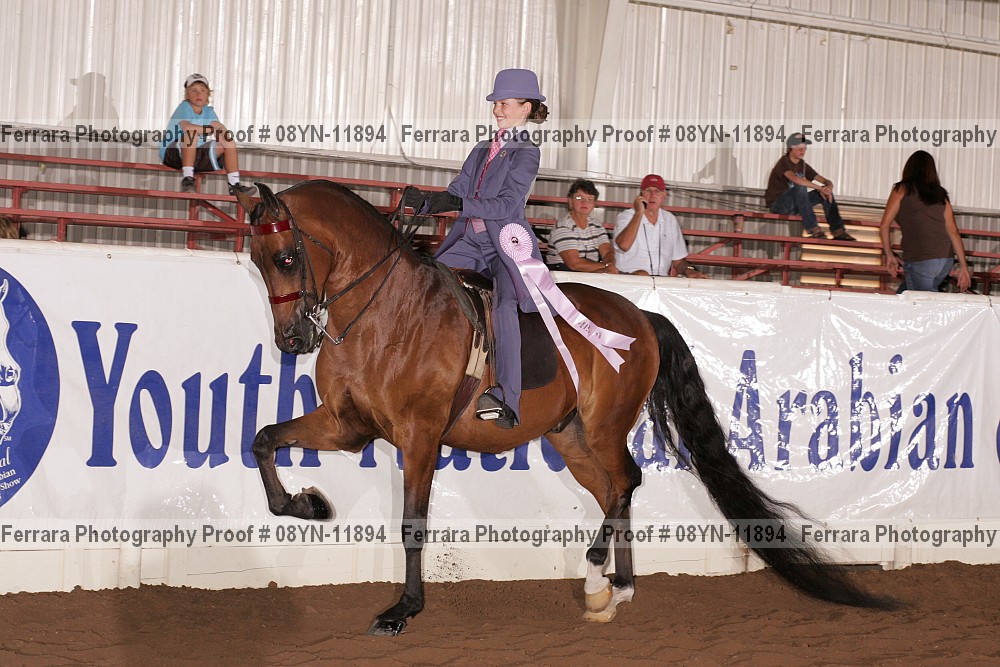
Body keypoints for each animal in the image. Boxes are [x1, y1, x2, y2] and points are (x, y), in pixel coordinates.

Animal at [234, 180, 895, 635]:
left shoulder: (418, 437)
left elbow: (412, 525)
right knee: (613, 492)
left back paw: (600, 574)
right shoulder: (347, 426)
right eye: (257, 262)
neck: (382, 313)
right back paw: (618, 588)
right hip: (570, 437)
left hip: (601, 429)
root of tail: (642, 316)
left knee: (626, 481)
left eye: (287, 257)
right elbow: (265, 438)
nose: (292, 340)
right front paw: (308, 504)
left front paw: (403, 610)